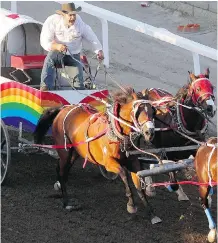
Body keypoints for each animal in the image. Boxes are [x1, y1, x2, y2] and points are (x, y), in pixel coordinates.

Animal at [34, 88, 163, 224]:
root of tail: (63, 108)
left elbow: (139, 186)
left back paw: (59, 185)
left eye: (153, 111)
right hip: (65, 151)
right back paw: (66, 202)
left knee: (62, 169)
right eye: (138, 111)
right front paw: (131, 205)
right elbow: (123, 174)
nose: (150, 132)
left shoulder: (133, 162)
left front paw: (151, 213)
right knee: (62, 170)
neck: (117, 135)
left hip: (75, 152)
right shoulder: (108, 163)